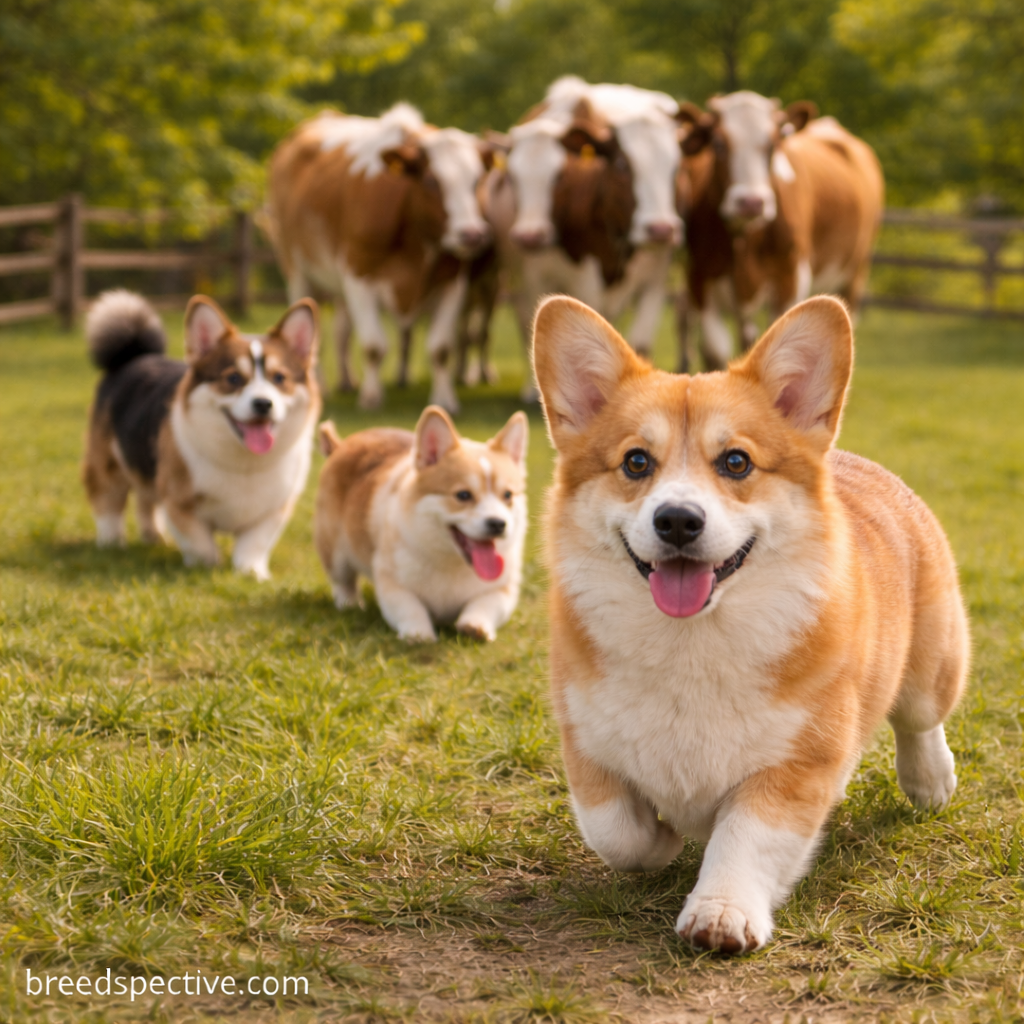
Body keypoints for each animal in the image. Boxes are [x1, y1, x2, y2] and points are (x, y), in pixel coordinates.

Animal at [267, 103, 492, 414]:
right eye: (431, 181)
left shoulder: (453, 282)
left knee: (342, 332)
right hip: (297, 269)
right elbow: (374, 346)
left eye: (477, 180)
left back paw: (347, 380)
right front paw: (371, 397)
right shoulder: (358, 276)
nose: (472, 233)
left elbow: (440, 347)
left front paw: (444, 398)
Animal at [487, 77, 687, 400]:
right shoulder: (541, 279)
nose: (660, 229)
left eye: (676, 168)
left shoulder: (655, 280)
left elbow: (640, 343)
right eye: (621, 165)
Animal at [677, 91, 885, 370]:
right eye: (718, 144)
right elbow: (715, 352)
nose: (751, 202)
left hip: (856, 269)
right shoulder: (700, 279)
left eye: (773, 145)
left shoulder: (790, 277)